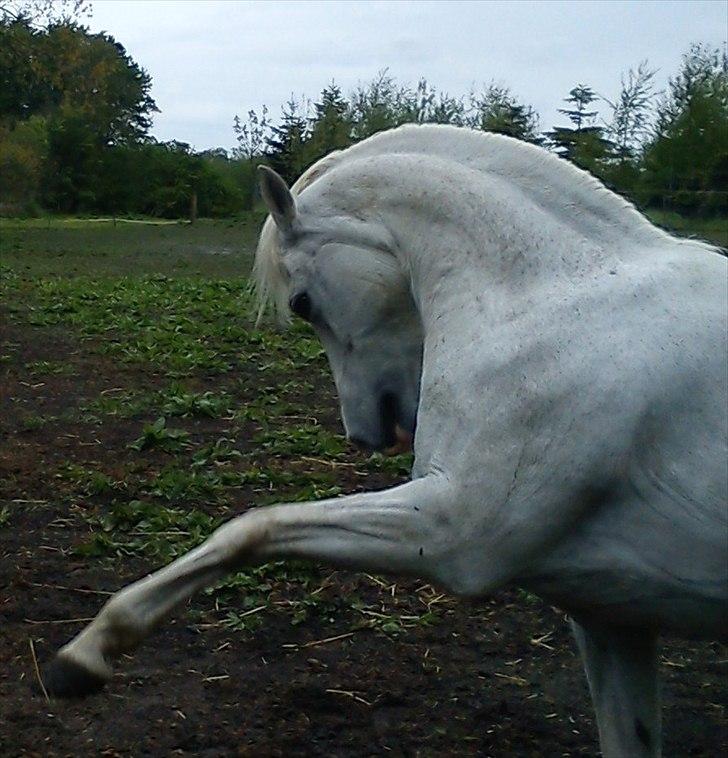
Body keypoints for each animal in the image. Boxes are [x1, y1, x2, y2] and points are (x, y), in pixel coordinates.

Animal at [45, 124, 727, 757]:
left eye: (301, 301)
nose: (366, 434)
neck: (550, 298)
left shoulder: (460, 533)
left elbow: (250, 529)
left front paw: (87, 651)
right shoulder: (613, 620)